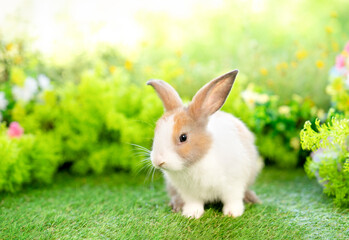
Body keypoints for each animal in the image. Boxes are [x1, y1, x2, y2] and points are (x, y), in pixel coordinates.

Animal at [145, 70, 262, 219]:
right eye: (156, 132)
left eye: (183, 137)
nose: (158, 161)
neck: (197, 162)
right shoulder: (188, 192)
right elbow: (193, 203)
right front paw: (191, 214)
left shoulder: (234, 184)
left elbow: (232, 199)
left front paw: (232, 213)